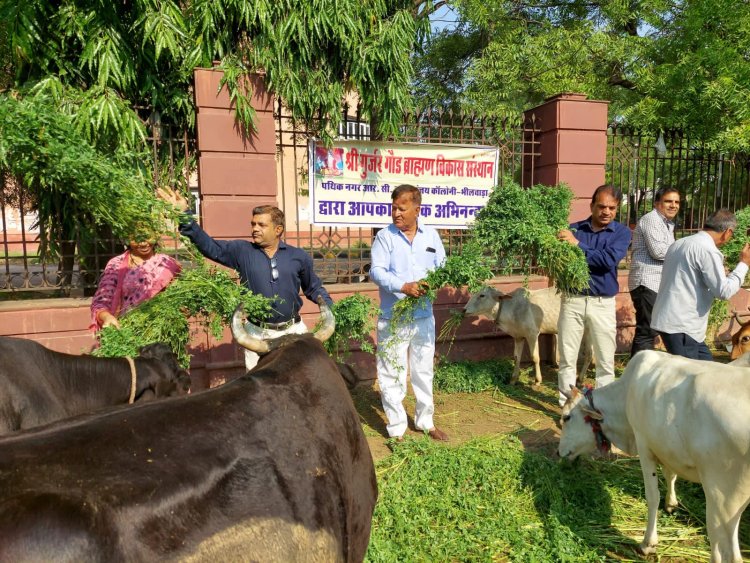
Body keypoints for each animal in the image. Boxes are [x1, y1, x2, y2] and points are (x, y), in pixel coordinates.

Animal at [464, 286, 592, 388]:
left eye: (482, 295)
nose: (464, 309)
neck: (511, 309)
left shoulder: (532, 334)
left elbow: (535, 357)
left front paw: (537, 381)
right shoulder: (518, 337)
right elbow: (516, 358)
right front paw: (513, 380)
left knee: (589, 354)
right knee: (589, 355)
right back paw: (580, 379)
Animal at [560, 350, 750, 560]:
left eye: (566, 417)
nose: (559, 452)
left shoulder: (644, 445)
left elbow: (652, 496)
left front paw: (648, 543)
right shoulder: (665, 447)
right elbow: (670, 474)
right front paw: (671, 503)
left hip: (722, 499)